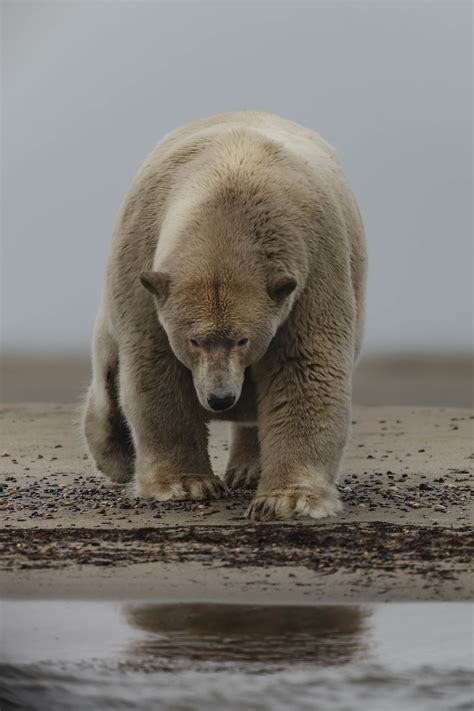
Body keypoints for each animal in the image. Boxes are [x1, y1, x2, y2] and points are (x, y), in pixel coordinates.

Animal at [84, 112, 366, 524]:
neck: (230, 184)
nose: (220, 399)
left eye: (243, 339)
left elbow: (304, 367)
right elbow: (156, 365)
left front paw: (287, 500)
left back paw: (248, 469)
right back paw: (115, 457)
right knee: (108, 376)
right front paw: (185, 484)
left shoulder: (312, 270)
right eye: (194, 340)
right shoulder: (144, 264)